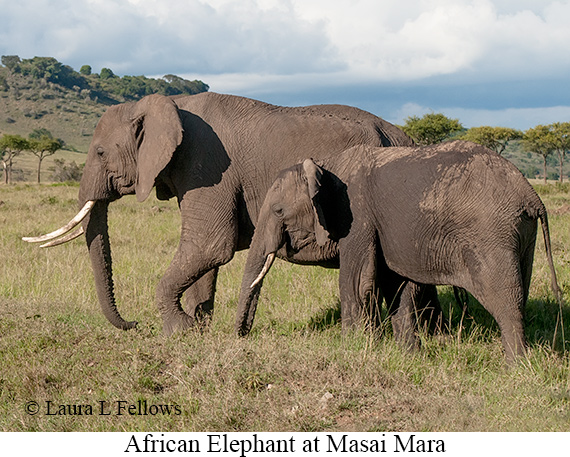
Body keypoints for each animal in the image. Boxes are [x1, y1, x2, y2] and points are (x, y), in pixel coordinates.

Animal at [22, 91, 412, 334]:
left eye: (101, 153)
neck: (170, 104)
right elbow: (204, 256)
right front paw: (199, 326)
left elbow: (210, 244)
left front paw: (178, 330)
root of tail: (404, 137)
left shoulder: (206, 164)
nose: (133, 325)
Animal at [235, 141, 560, 362]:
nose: (242, 336)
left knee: (506, 298)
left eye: (278, 211)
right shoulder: (382, 229)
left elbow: (358, 282)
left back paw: (516, 367)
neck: (327, 164)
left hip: (491, 234)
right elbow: (397, 285)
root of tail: (531, 195)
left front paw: (351, 349)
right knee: (522, 290)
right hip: (522, 233)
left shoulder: (358, 217)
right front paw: (409, 355)